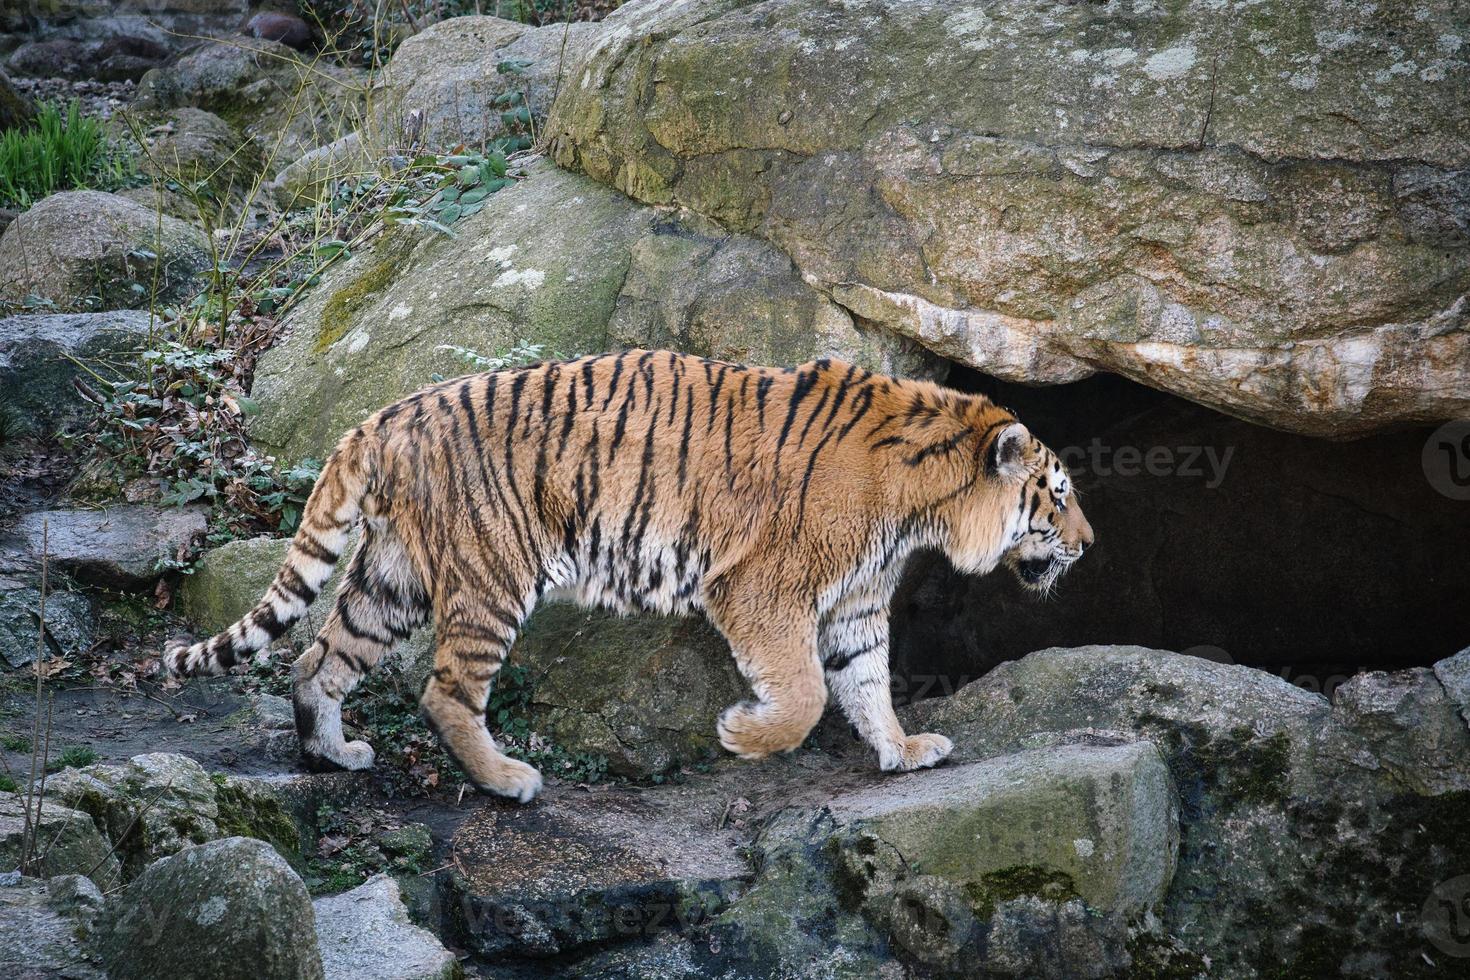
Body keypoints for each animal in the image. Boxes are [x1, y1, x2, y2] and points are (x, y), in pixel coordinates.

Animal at [169, 352, 1093, 805]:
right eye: (1058, 494)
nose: (1088, 545)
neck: (923, 507)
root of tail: (381, 418)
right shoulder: (761, 589)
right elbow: (804, 695)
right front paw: (741, 736)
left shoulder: (858, 603)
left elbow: (865, 682)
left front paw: (901, 751)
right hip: (492, 576)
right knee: (444, 692)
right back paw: (507, 782)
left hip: (390, 579)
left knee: (315, 660)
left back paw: (333, 754)